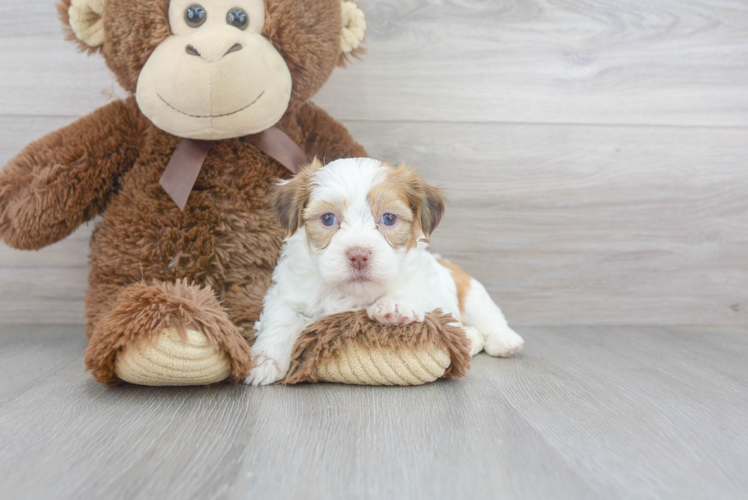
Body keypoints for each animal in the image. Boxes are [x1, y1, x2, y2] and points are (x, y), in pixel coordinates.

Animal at [247, 158, 524, 384]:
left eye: (389, 218)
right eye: (327, 219)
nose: (358, 255)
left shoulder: (424, 284)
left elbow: (410, 289)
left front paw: (394, 305)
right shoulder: (285, 294)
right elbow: (280, 320)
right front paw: (263, 363)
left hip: (472, 293)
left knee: (490, 317)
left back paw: (505, 341)